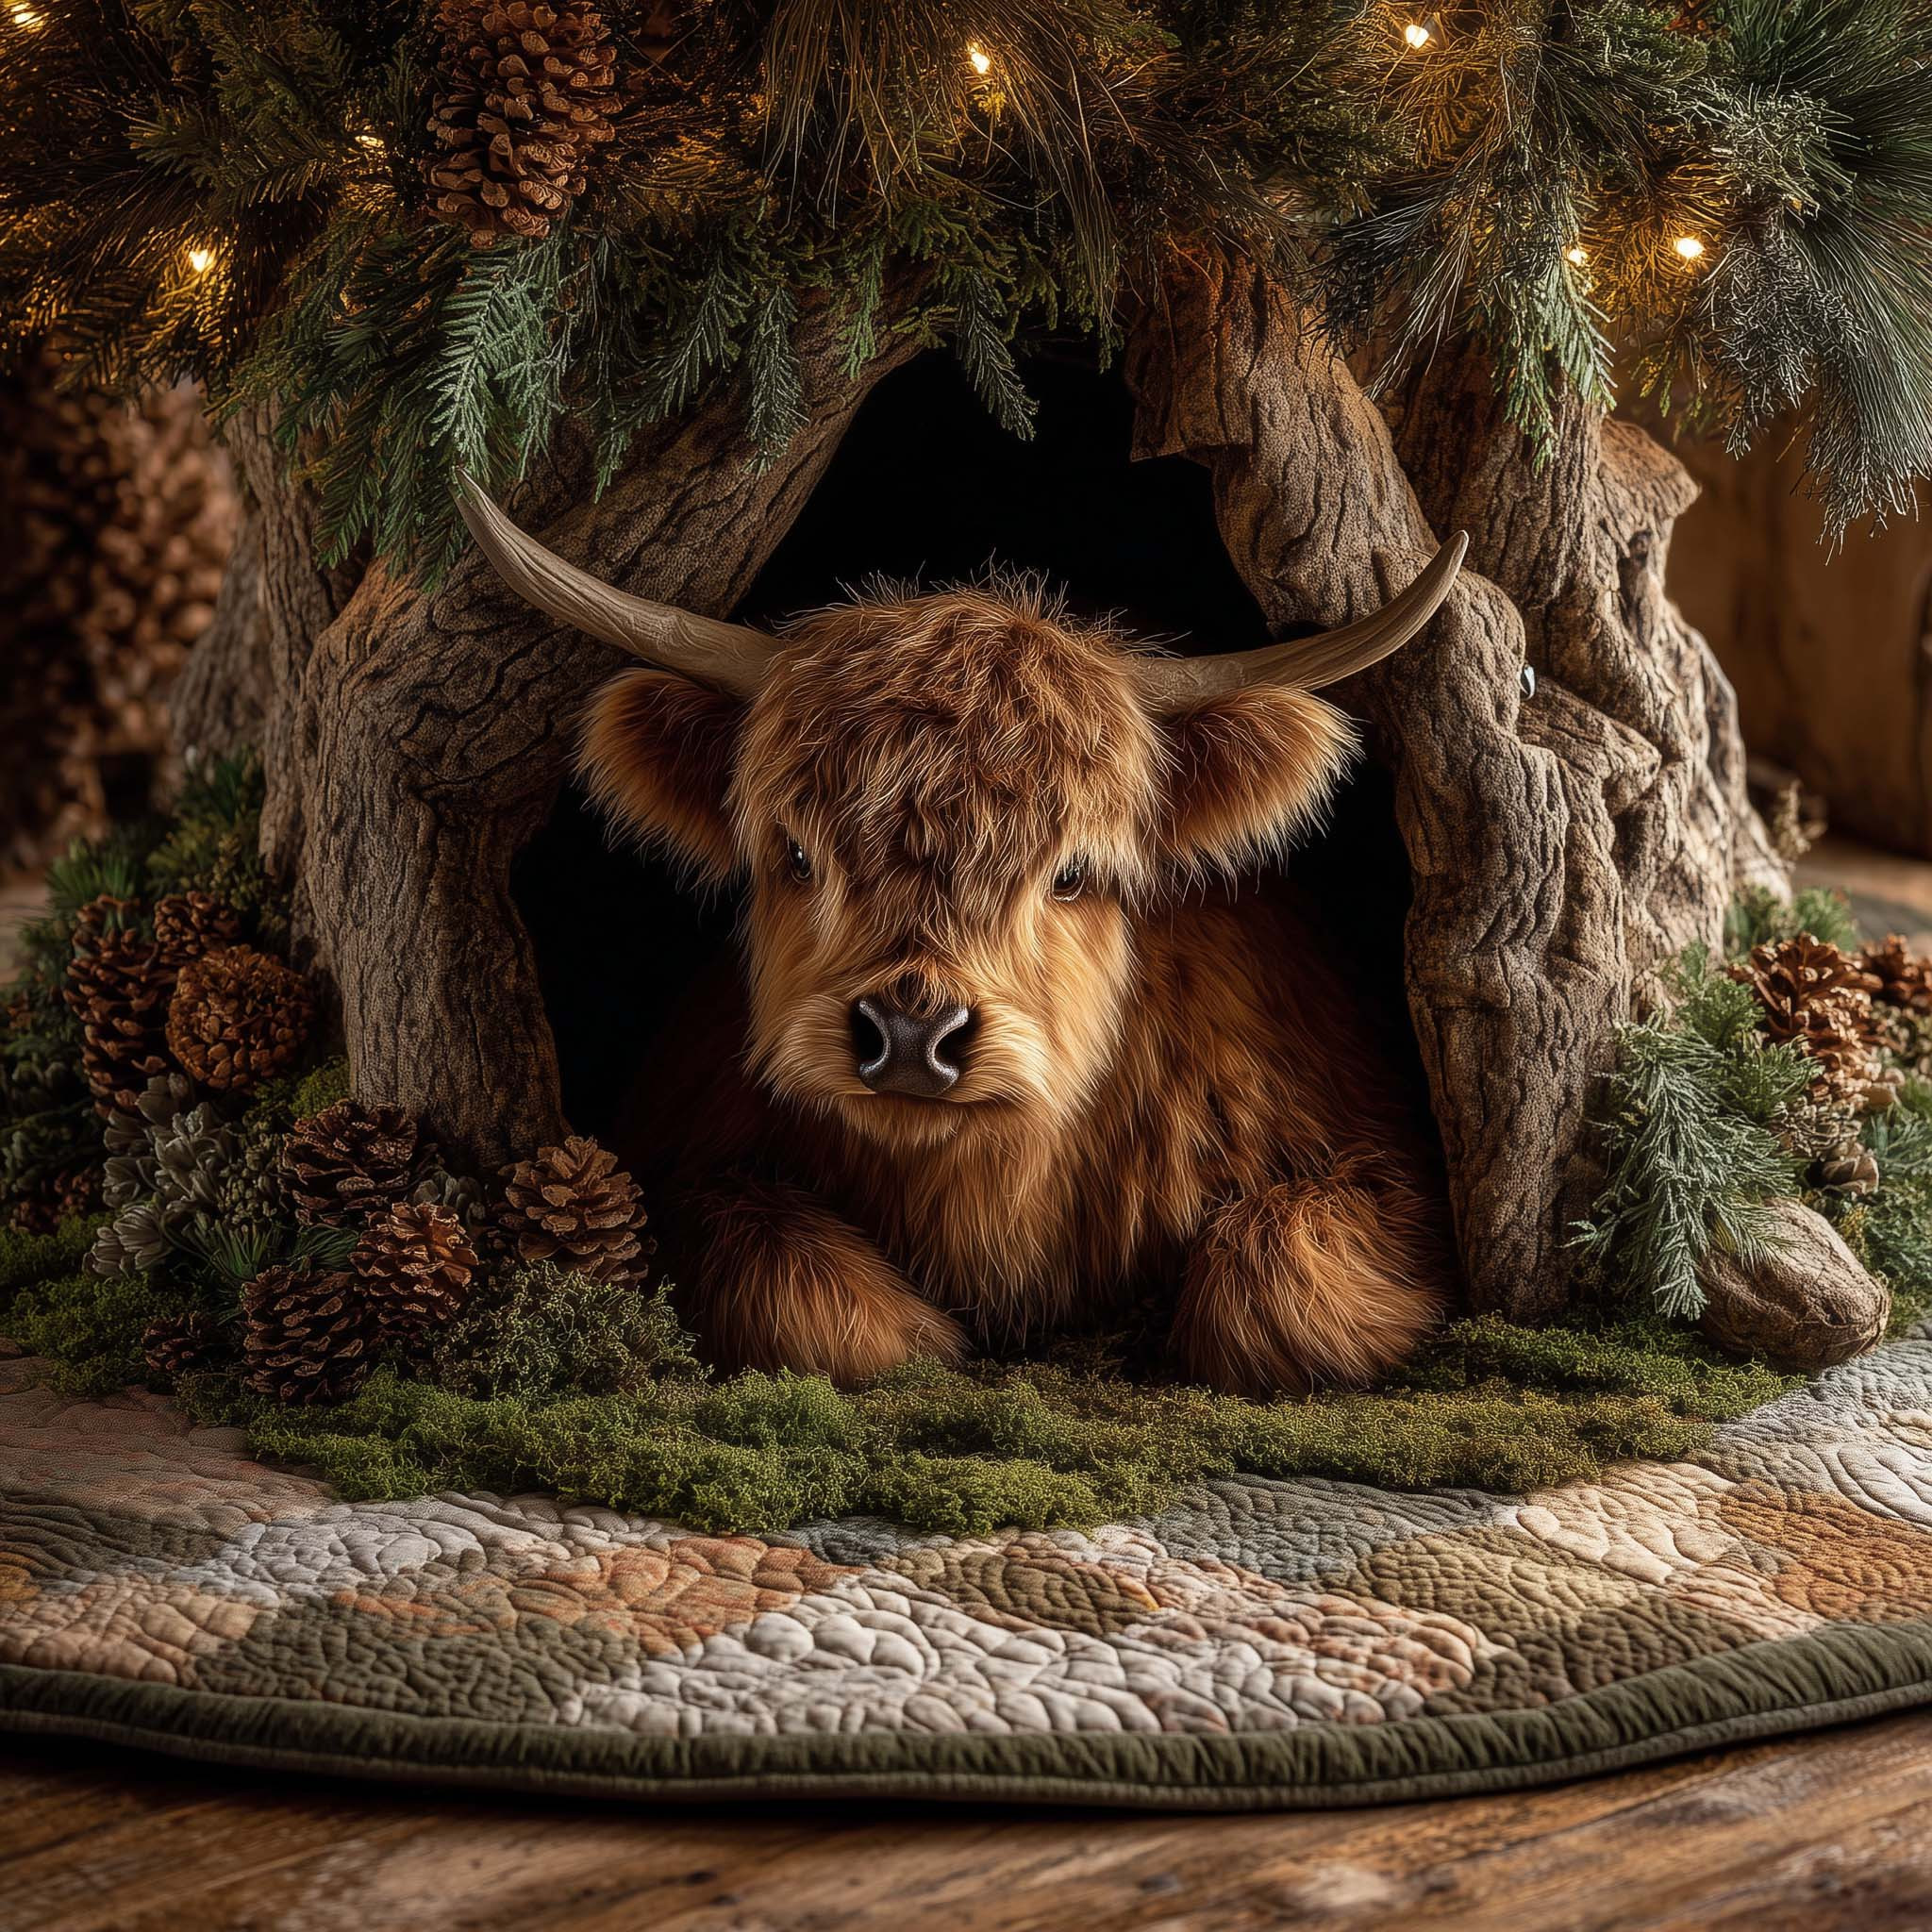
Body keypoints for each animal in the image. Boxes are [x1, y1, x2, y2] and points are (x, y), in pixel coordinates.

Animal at [457, 477, 1465, 1398]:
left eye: (1073, 872)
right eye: (795, 852)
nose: (910, 1036)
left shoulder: (1378, 1161)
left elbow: (1273, 1288)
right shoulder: (682, 1161)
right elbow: (790, 1288)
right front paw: (920, 1338)